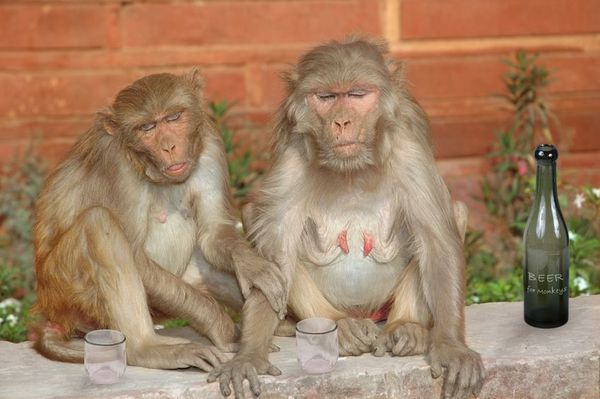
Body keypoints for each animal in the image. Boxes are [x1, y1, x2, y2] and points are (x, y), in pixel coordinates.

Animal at [30, 68, 288, 388]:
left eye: (174, 118)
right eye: (147, 127)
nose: (169, 146)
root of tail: (50, 310)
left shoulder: (210, 144)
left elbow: (214, 235)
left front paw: (253, 267)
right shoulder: (116, 164)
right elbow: (135, 256)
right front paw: (222, 327)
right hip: (67, 290)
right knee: (98, 222)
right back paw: (147, 348)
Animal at [225, 39, 482, 399]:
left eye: (358, 95)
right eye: (327, 97)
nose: (342, 122)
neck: (351, 170)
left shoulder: (410, 155)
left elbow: (437, 244)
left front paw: (452, 348)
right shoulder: (291, 165)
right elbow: (274, 262)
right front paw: (248, 354)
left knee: (453, 214)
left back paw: (406, 327)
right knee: (254, 218)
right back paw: (338, 326)